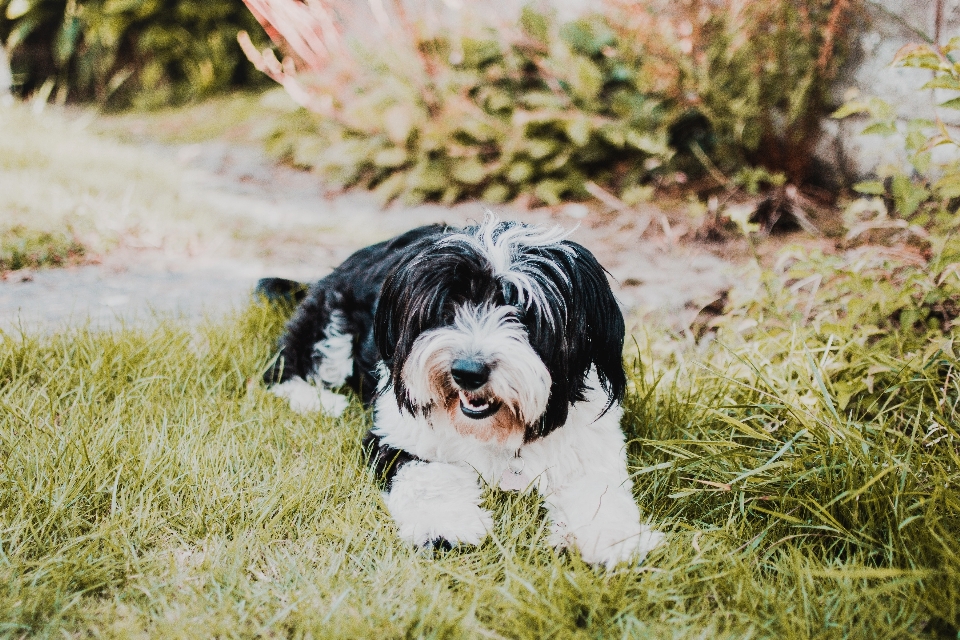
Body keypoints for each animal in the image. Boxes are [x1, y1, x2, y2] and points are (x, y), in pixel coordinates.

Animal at [258, 216, 664, 568]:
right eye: (449, 305)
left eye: (524, 311)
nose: (467, 372)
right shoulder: (398, 435)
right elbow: (425, 476)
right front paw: (445, 524)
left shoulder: (590, 446)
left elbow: (601, 491)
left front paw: (612, 538)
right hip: (333, 320)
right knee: (284, 366)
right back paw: (318, 400)